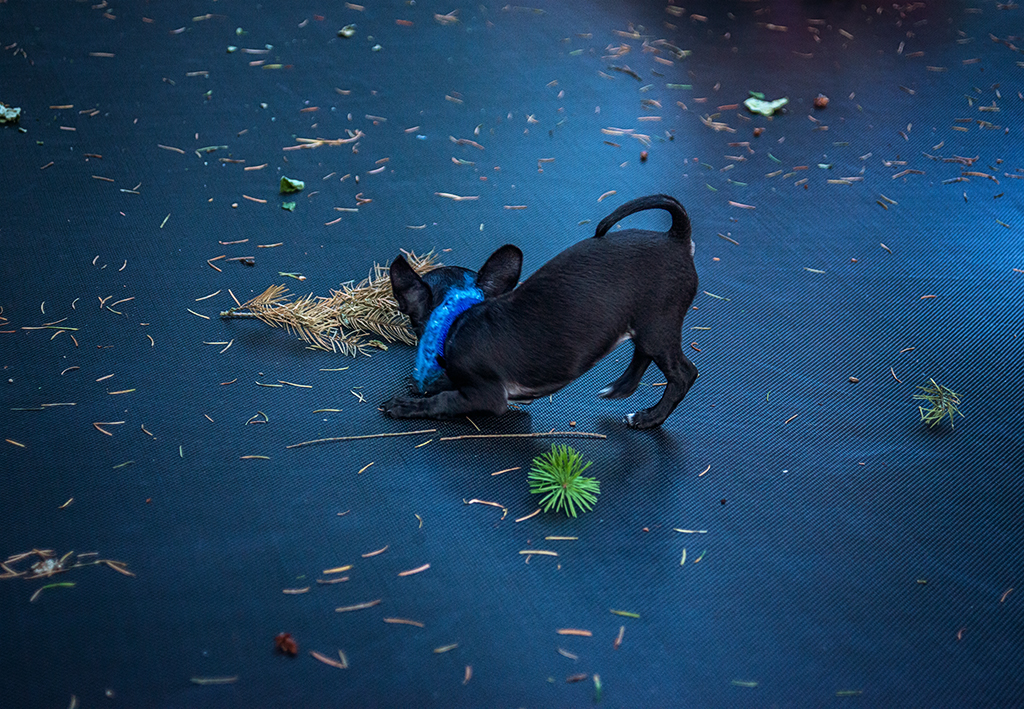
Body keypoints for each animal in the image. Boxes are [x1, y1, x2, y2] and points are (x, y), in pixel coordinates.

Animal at [380, 191, 700, 428]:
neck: (457, 314)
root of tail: (676, 237)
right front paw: (430, 384)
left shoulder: (487, 396)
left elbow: (443, 401)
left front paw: (409, 405)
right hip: (645, 325)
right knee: (642, 356)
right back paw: (621, 388)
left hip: (657, 327)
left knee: (684, 374)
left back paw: (649, 418)